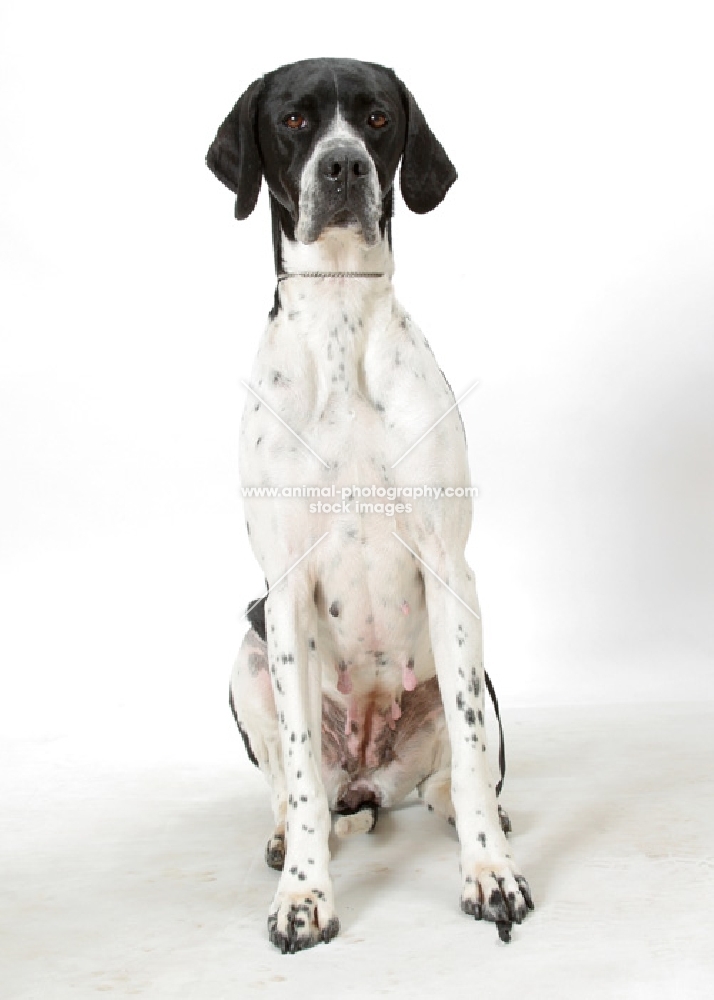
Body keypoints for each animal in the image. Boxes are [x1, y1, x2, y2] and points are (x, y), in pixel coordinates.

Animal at [203, 56, 532, 952]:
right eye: (292, 119)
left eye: (378, 118)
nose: (344, 166)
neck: (341, 322)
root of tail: (372, 781)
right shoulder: (282, 589)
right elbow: (299, 773)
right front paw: (303, 895)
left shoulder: (450, 569)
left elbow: (469, 755)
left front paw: (490, 876)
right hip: (247, 653)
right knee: (303, 789)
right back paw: (293, 833)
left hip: (478, 673)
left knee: (457, 773)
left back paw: (466, 816)